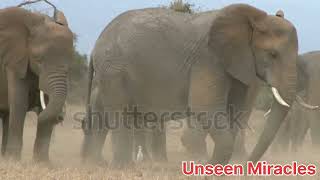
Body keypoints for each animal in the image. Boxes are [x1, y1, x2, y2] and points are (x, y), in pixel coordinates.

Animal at [0, 4, 73, 162]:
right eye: (38, 60)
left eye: (69, 63)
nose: (60, 117)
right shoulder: (15, 61)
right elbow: (19, 103)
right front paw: (14, 161)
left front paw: (43, 163)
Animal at [82, 3, 304, 166]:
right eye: (273, 54)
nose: (246, 166)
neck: (253, 19)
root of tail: (95, 46)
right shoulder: (208, 59)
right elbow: (204, 107)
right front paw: (210, 169)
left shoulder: (237, 64)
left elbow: (235, 110)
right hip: (113, 71)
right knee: (120, 112)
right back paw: (122, 167)